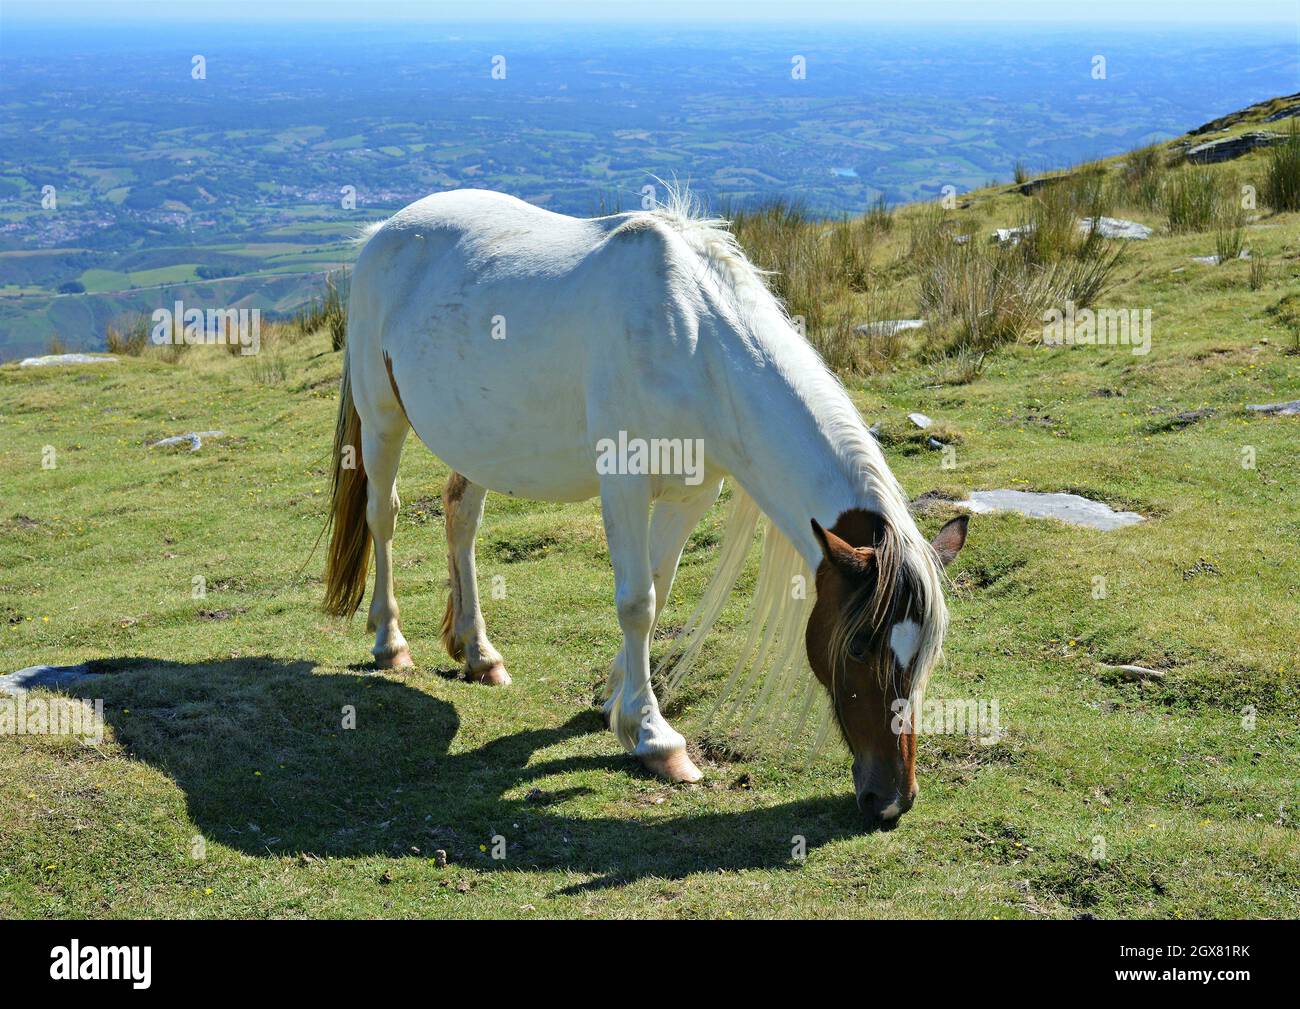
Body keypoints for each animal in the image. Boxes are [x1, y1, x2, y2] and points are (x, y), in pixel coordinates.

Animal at [323, 184, 967, 821]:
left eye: (929, 655)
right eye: (859, 645)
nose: (893, 798)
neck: (696, 343)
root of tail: (385, 231)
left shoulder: (693, 494)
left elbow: (659, 585)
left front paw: (617, 699)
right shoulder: (624, 484)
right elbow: (637, 602)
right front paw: (656, 739)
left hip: (479, 439)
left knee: (461, 519)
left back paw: (479, 654)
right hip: (382, 419)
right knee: (384, 517)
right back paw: (390, 643)